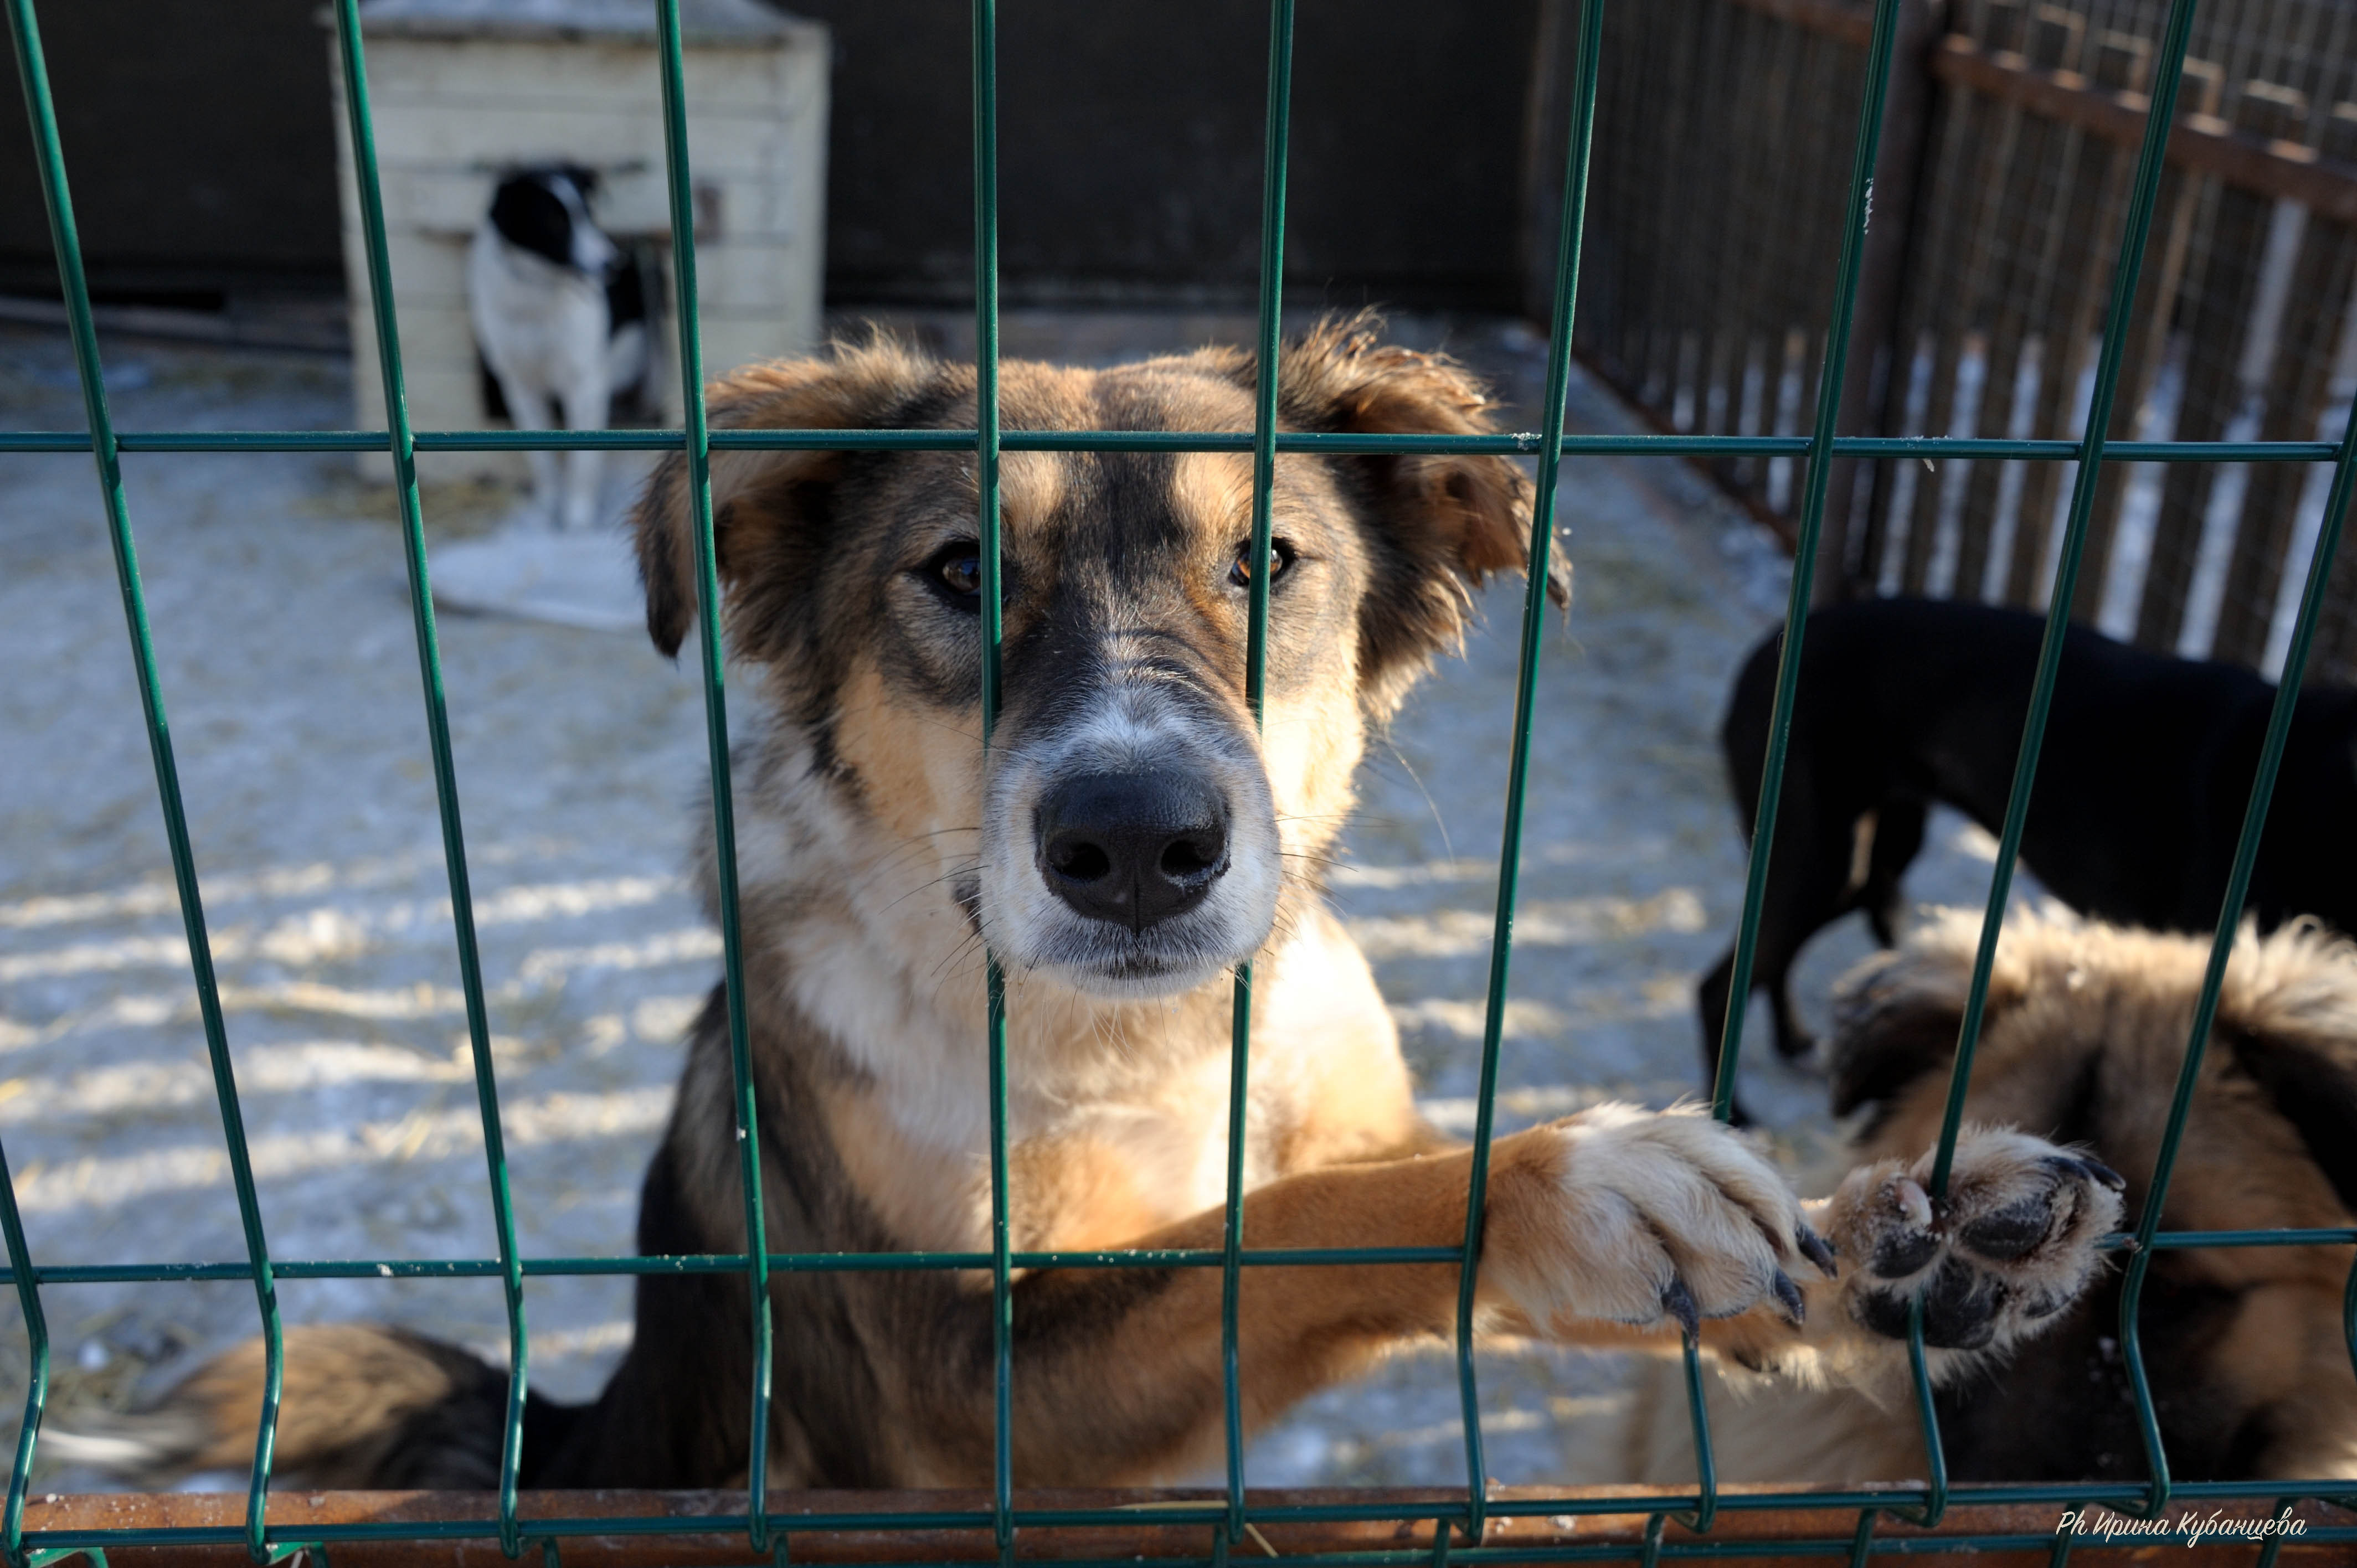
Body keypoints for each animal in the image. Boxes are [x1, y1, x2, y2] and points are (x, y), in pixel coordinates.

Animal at [50, 316, 2121, 1481]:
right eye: (959, 569)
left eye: (1265, 560)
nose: (1135, 841)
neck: (1139, 1042)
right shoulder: (968, 1392)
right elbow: (1292, 1231)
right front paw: (1569, 1180)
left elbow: (1346, 1196)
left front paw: (1892, 1231)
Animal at [469, 163, 655, 533]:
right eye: (554, 222)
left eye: (589, 214)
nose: (614, 264)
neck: (538, 297)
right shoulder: (519, 386)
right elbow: (542, 458)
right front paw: (546, 511)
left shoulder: (585, 383)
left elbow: (582, 460)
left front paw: (577, 521)